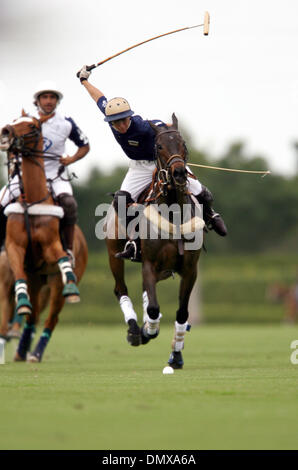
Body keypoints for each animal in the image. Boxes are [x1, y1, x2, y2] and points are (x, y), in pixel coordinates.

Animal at [0, 112, 88, 362]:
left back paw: (36, 352)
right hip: (37, 279)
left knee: (51, 319)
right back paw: (21, 350)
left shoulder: (51, 245)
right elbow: (18, 282)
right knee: (33, 316)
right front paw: (22, 302)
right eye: (14, 119)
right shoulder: (14, 249)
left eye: (32, 126)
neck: (31, 201)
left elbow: (61, 257)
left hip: (54, 285)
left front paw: (72, 285)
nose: (6, 132)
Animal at [105, 113, 205, 368]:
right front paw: (147, 331)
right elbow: (151, 307)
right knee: (120, 288)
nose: (179, 174)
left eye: (183, 144)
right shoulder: (149, 263)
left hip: (166, 268)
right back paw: (134, 330)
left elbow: (182, 313)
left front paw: (176, 356)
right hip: (114, 253)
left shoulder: (190, 269)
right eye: (159, 146)